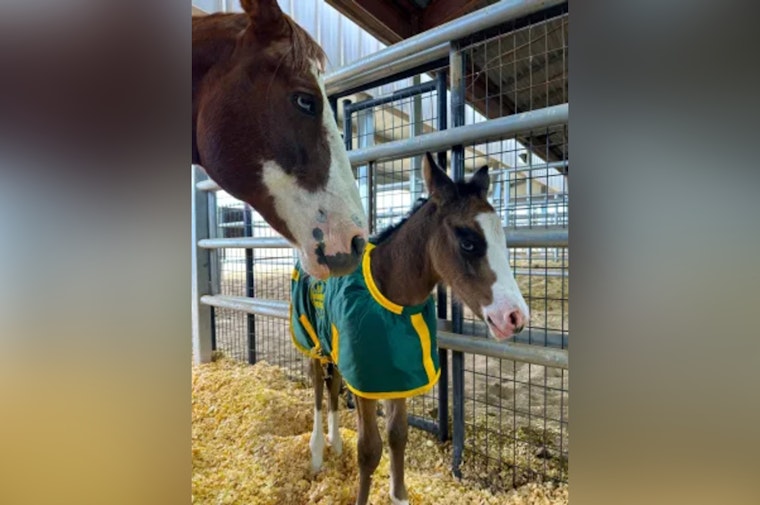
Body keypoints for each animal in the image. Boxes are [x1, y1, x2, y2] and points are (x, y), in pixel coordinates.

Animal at [289, 152, 530, 505]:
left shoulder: (397, 374)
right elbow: (369, 451)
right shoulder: (366, 379)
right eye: (467, 241)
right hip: (311, 341)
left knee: (333, 389)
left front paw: (399, 495)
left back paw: (335, 442)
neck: (392, 296)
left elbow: (397, 436)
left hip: (333, 346)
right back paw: (318, 452)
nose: (515, 317)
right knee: (320, 390)